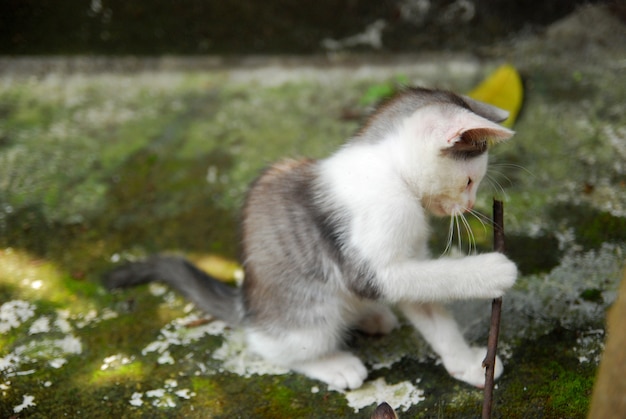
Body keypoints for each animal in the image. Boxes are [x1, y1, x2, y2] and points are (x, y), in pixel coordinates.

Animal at [105, 87, 516, 392]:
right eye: (469, 180)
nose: (469, 204)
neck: (390, 173)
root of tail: (248, 305)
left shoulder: (407, 255)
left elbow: (431, 310)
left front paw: (466, 364)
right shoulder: (371, 263)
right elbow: (433, 276)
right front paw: (493, 271)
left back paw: (372, 317)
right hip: (310, 308)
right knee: (273, 347)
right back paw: (333, 364)